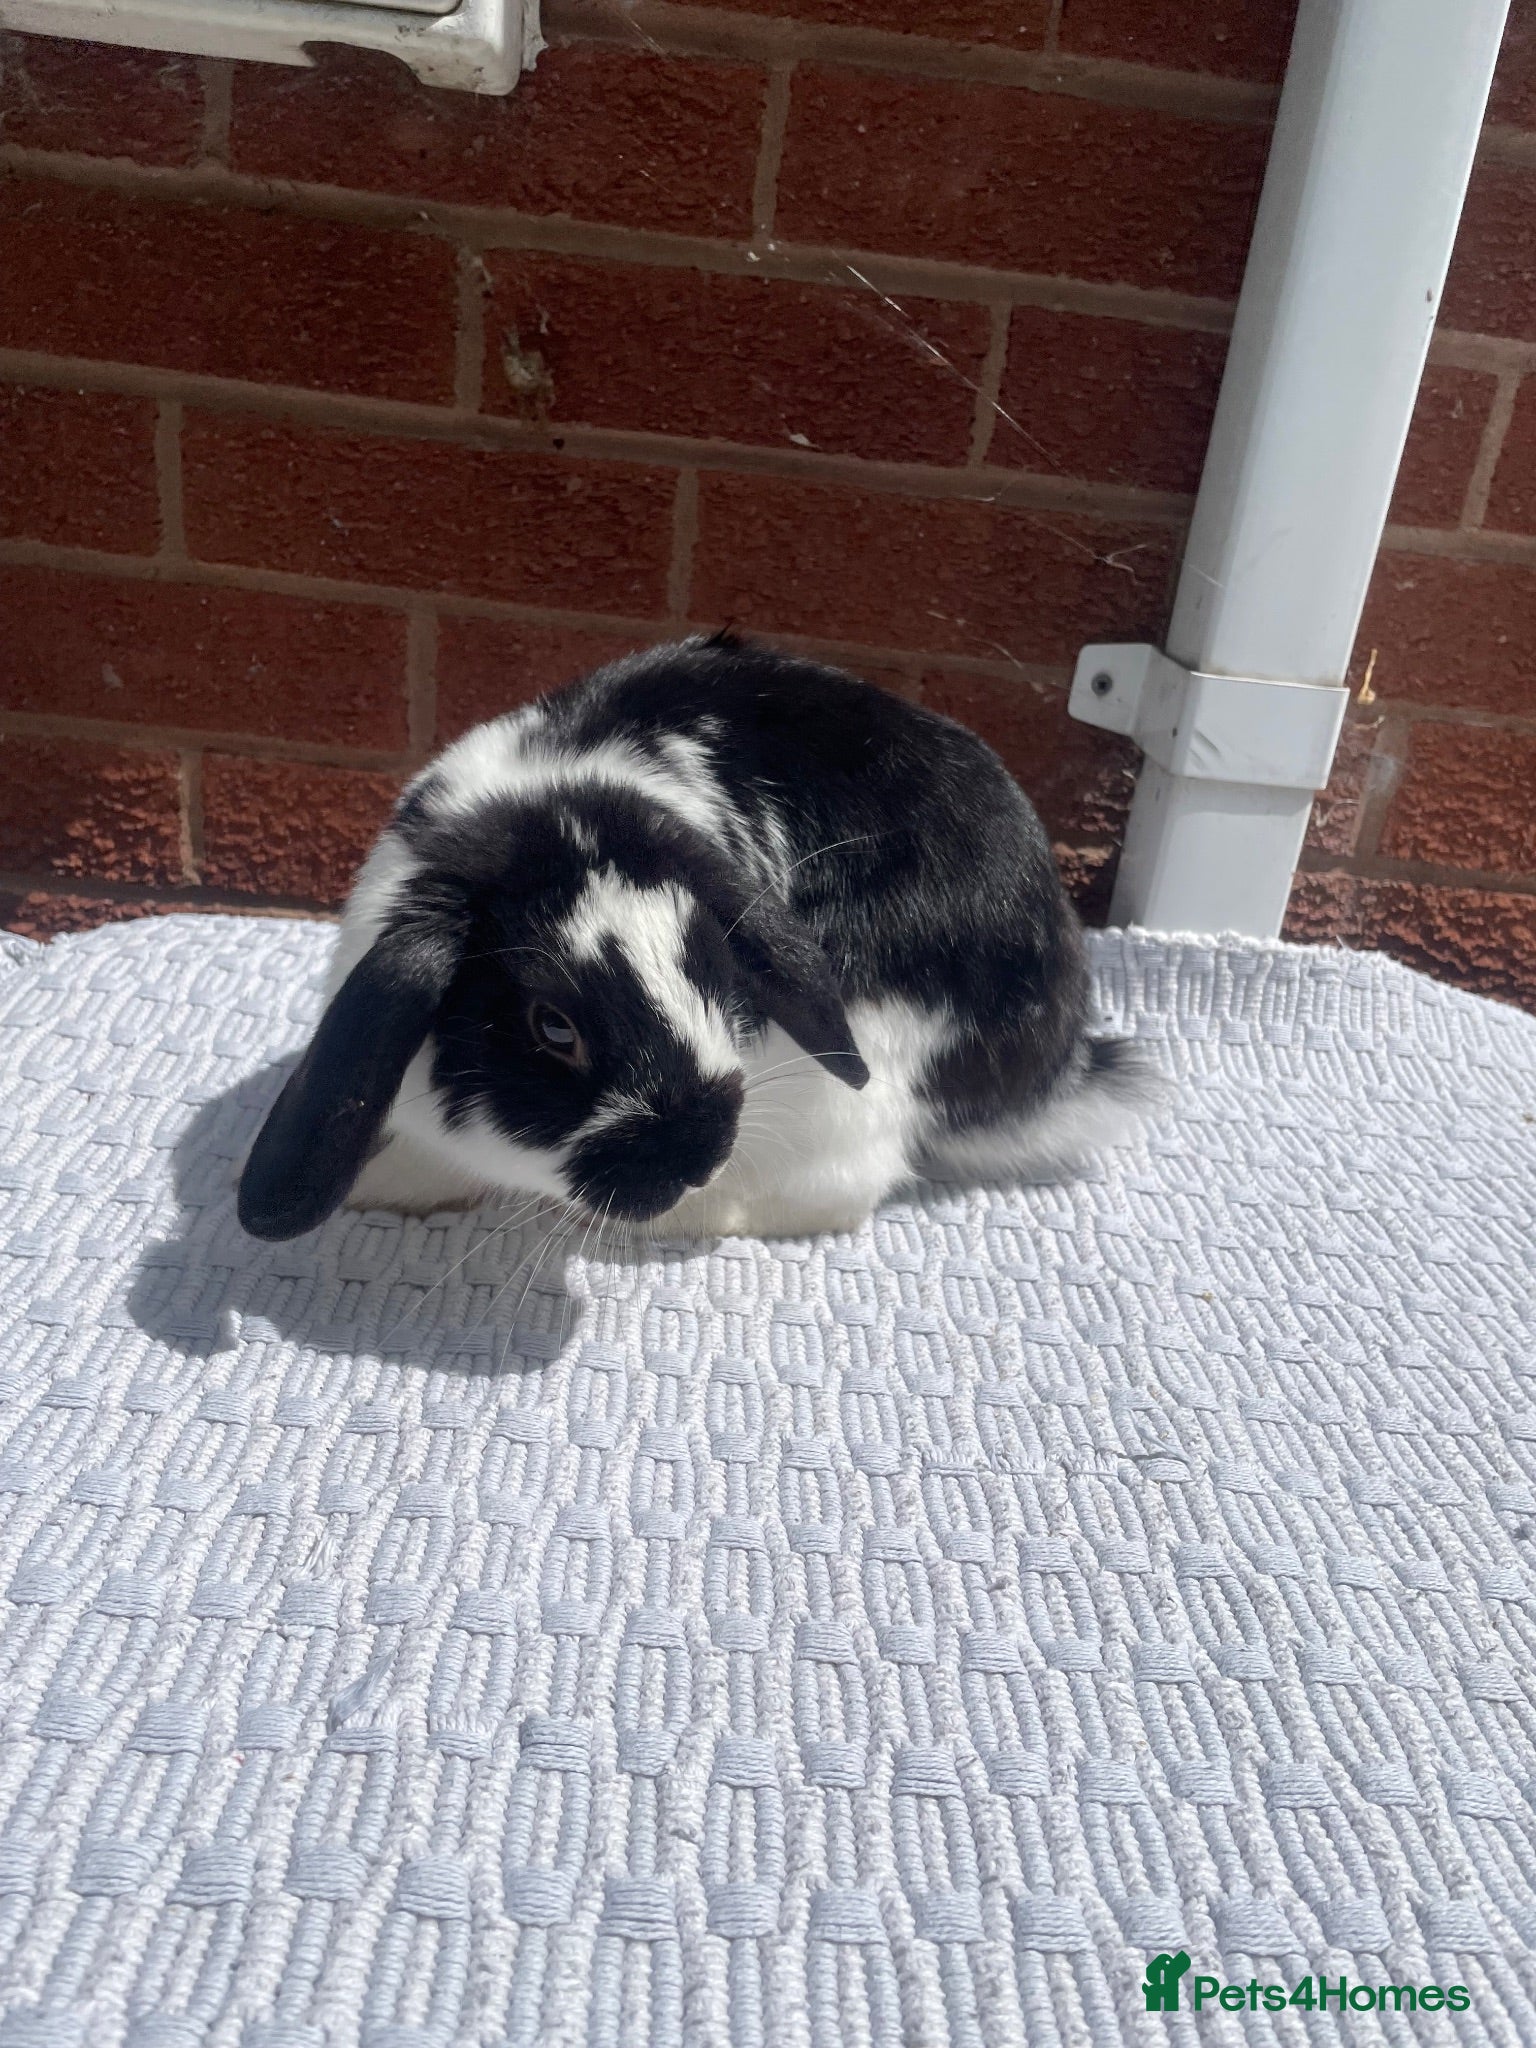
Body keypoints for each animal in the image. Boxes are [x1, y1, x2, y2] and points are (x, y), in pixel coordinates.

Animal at [237, 632, 1153, 1243]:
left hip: (858, 1076)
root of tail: (1049, 1069)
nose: (694, 1154)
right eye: (552, 1028)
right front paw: (383, 1183)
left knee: (837, 1191)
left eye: (712, 971)